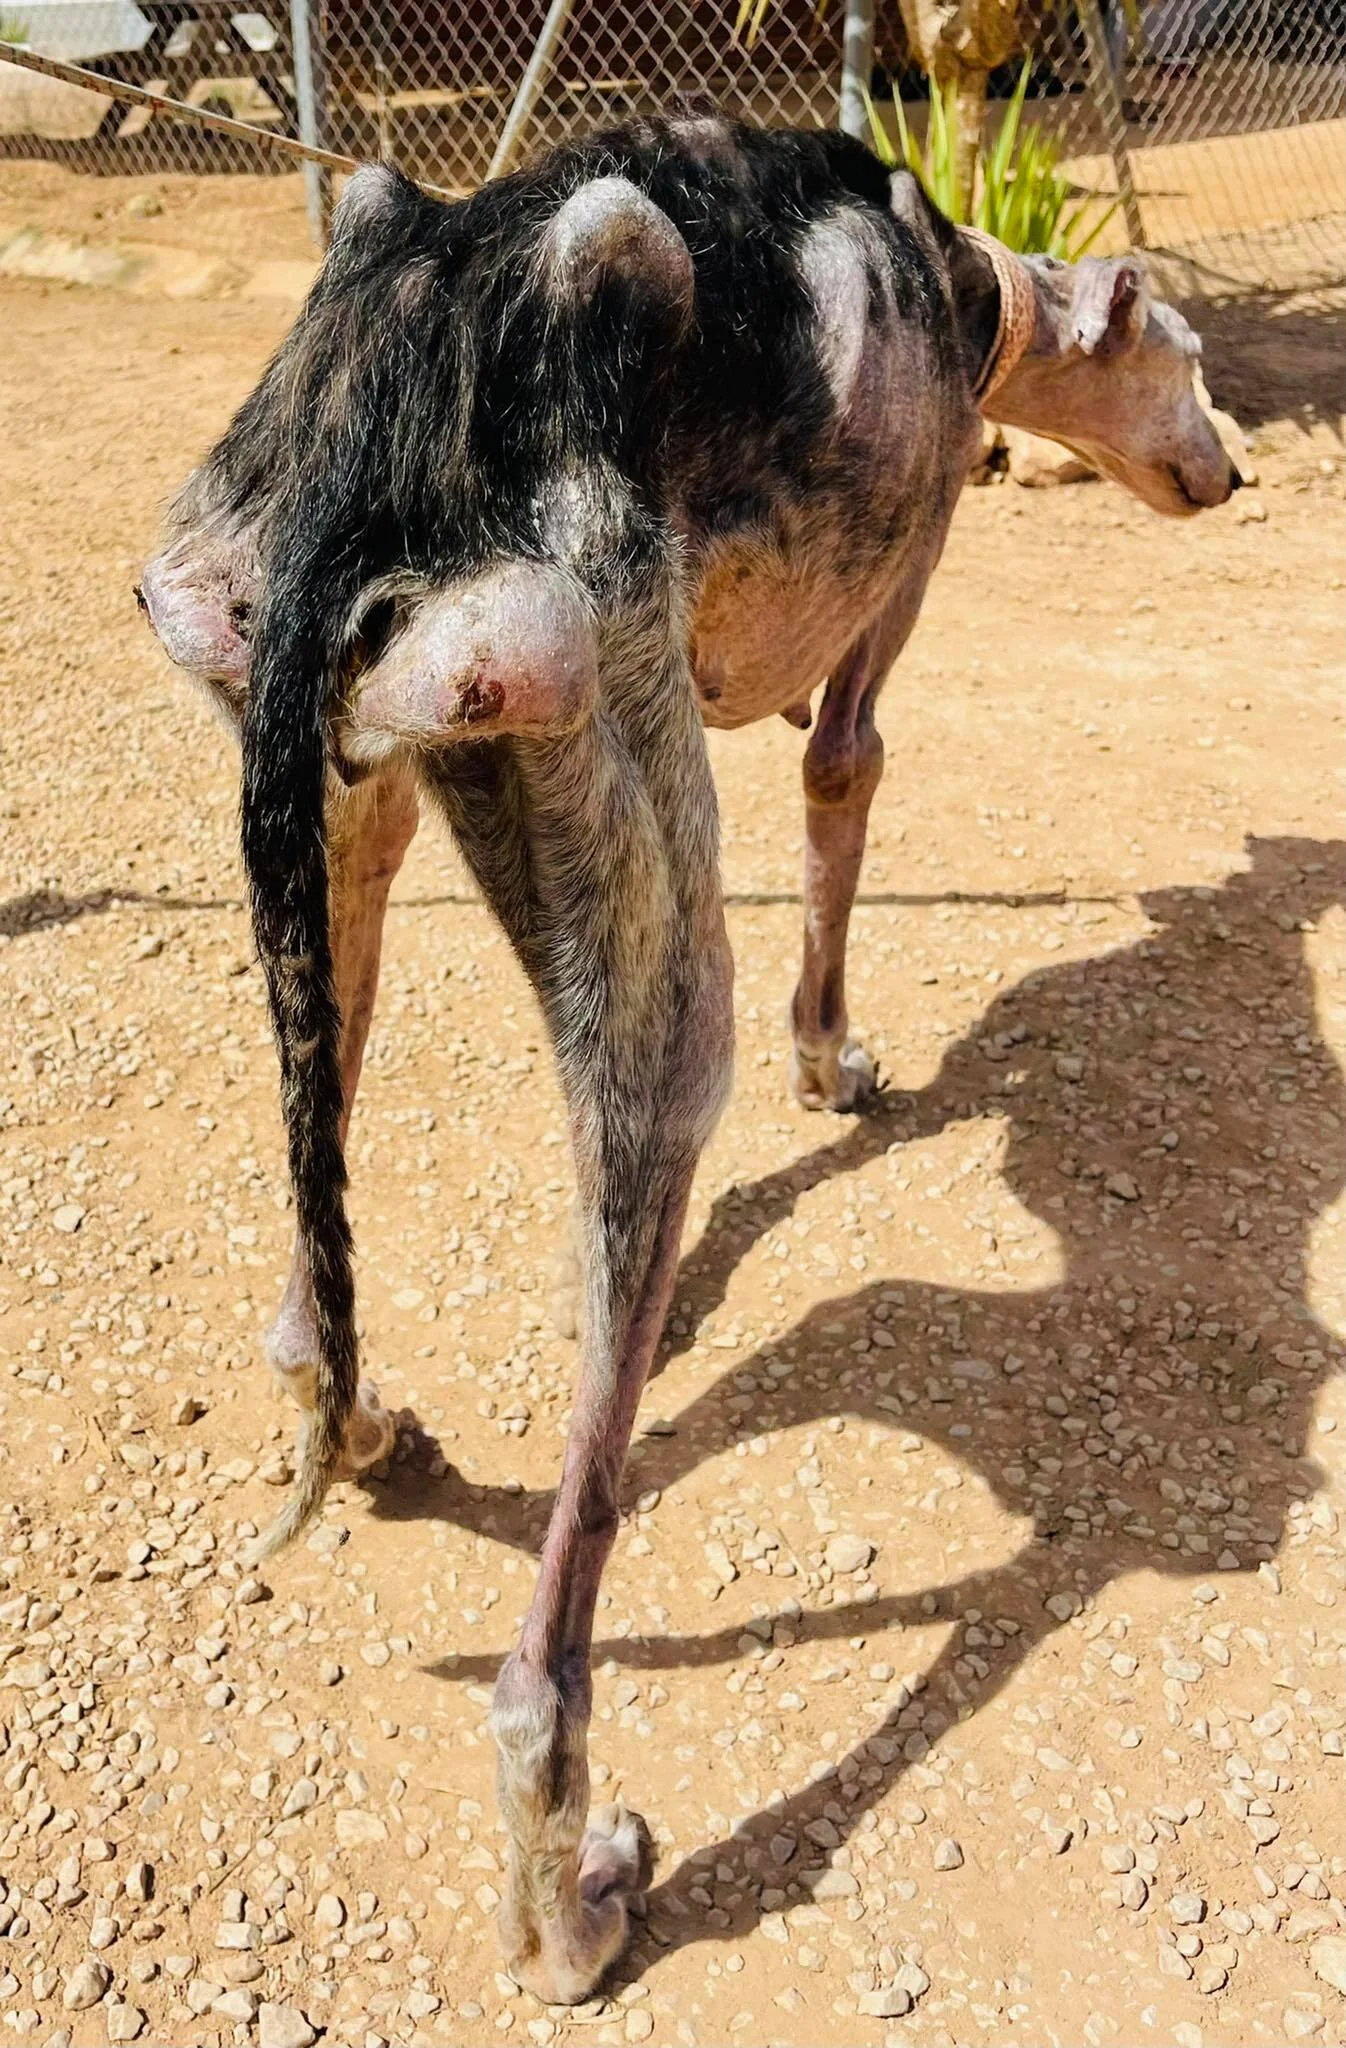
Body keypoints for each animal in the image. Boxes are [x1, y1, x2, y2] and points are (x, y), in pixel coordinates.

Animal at [137, 112, 1239, 2001]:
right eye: (1176, 352)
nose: (1231, 474)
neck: (959, 274)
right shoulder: (898, 580)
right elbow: (844, 777)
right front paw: (838, 1062)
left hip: (324, 783)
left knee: (308, 1282)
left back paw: (361, 1427)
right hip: (593, 771)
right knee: (542, 1655)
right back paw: (567, 1898)